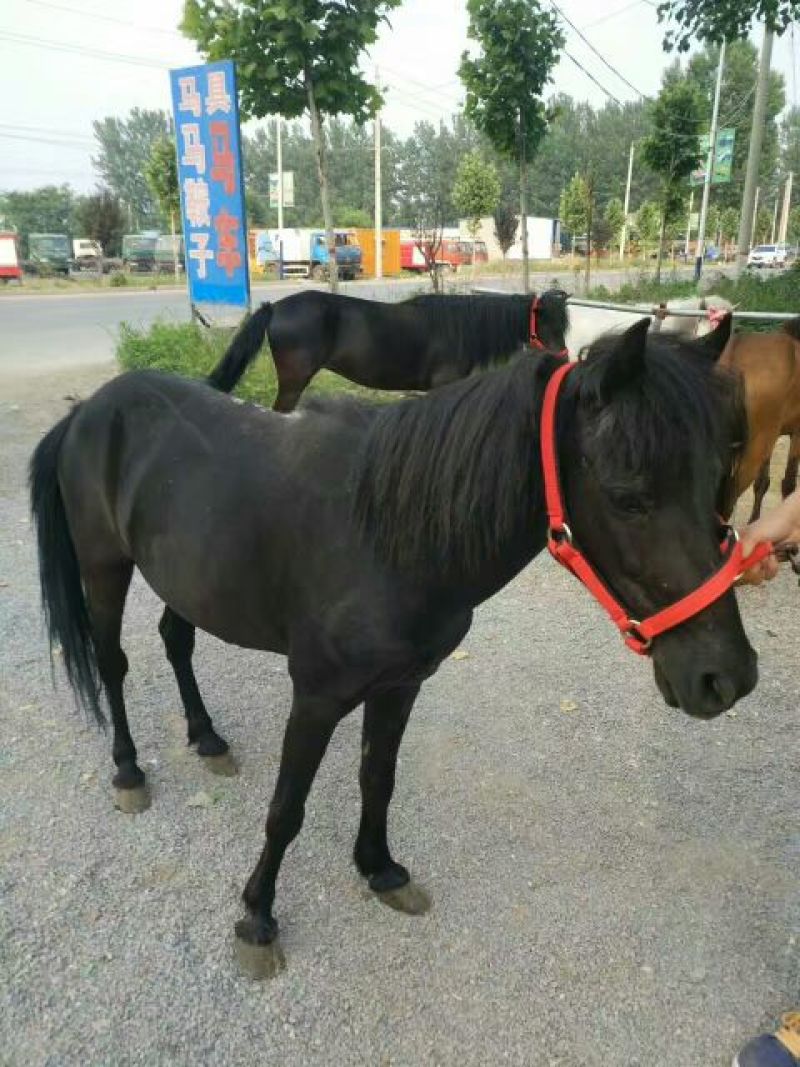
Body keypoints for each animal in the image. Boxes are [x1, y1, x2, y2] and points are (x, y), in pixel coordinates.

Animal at [31, 316, 754, 978]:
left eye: (718, 480)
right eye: (629, 497)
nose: (727, 676)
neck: (387, 536)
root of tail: (91, 408)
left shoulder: (402, 684)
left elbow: (378, 778)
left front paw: (379, 869)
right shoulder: (316, 696)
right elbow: (286, 809)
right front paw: (257, 918)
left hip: (183, 580)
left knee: (176, 642)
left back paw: (207, 738)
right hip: (104, 567)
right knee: (113, 665)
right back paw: (128, 771)